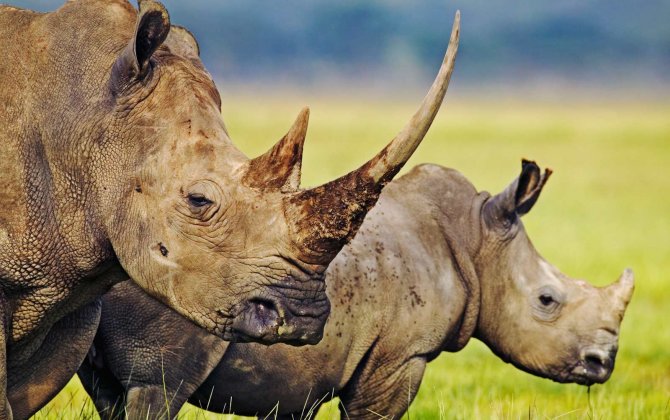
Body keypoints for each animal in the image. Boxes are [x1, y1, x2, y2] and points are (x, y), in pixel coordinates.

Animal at [80, 160, 634, 419]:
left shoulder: (300, 378)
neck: (477, 240)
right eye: (547, 300)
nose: (602, 364)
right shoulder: (402, 354)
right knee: (157, 390)